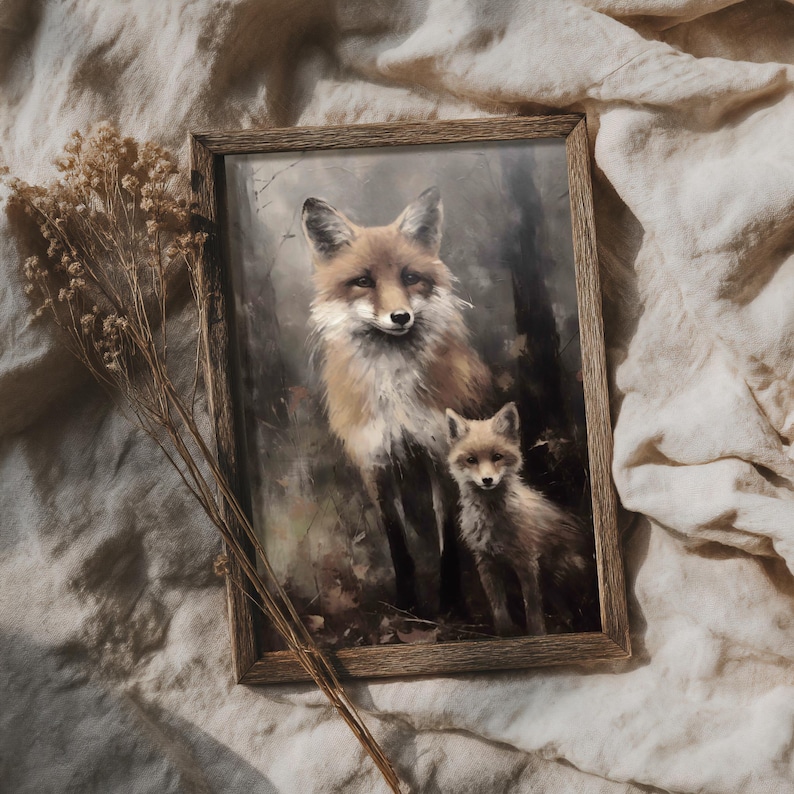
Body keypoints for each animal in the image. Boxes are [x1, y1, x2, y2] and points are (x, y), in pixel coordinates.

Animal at [302, 186, 493, 613]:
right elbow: (397, 542)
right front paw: (408, 606)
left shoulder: (442, 454)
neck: (395, 394)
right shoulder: (375, 458)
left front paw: (450, 602)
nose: (400, 317)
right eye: (363, 281)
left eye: (409, 277)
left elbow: (448, 538)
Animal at [445, 402, 590, 636]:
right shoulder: (485, 562)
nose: (487, 480)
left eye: (497, 457)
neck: (493, 520)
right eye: (471, 460)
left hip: (560, 570)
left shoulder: (526, 562)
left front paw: (537, 635)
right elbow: (499, 610)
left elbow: (533, 611)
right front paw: (505, 635)